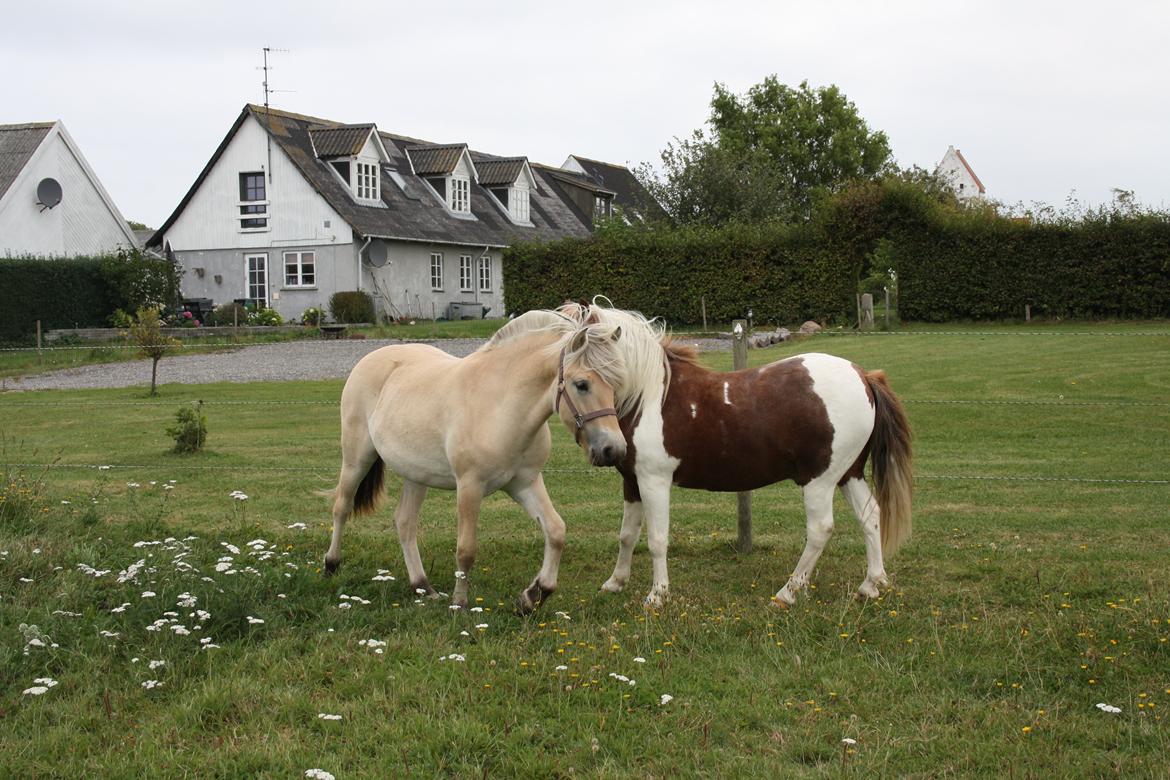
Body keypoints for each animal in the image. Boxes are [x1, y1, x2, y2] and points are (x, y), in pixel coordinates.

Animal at [320, 308, 631, 612]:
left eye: (616, 385)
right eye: (582, 384)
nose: (613, 450)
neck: (500, 405)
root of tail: (370, 359)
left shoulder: (525, 483)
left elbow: (556, 531)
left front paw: (533, 596)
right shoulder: (469, 486)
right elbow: (466, 549)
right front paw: (460, 603)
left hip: (415, 475)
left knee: (405, 522)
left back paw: (423, 587)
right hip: (356, 459)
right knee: (342, 507)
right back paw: (331, 565)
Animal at [585, 304, 912, 608]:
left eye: (586, 380)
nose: (602, 449)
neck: (649, 396)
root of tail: (864, 376)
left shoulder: (654, 482)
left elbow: (656, 540)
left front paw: (656, 596)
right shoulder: (632, 483)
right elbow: (627, 535)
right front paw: (615, 582)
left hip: (820, 479)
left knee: (820, 530)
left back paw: (788, 593)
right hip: (849, 474)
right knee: (870, 516)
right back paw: (870, 584)